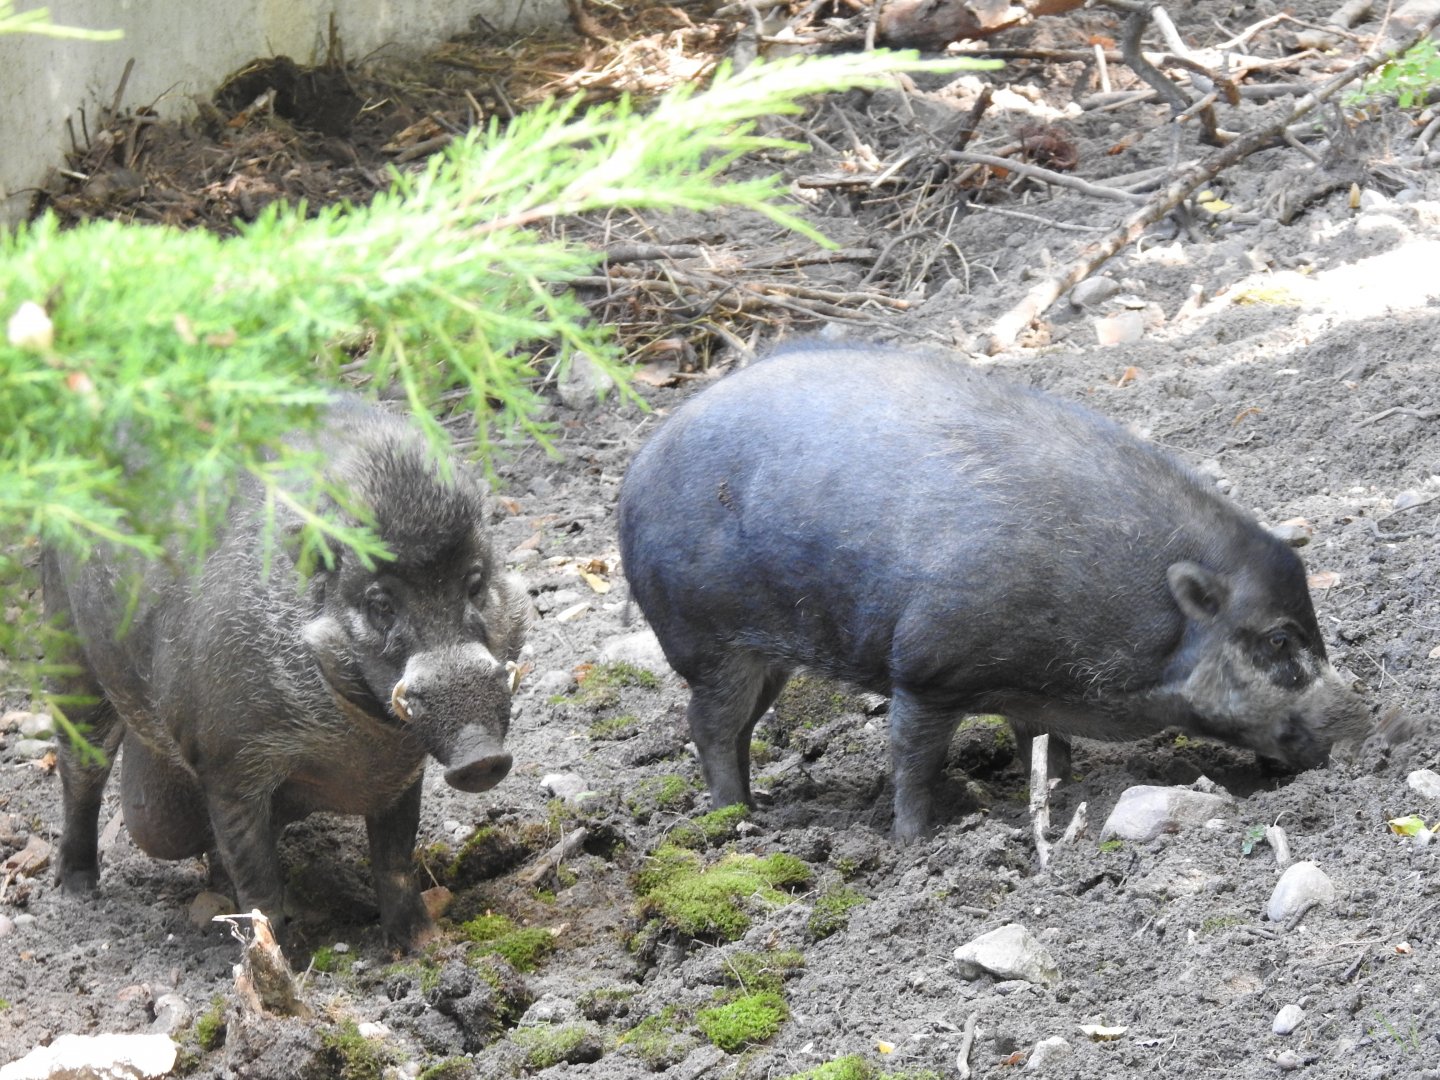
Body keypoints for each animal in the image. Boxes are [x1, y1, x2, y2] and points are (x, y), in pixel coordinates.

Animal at [44, 397, 529, 946]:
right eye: (380, 603)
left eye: (474, 583)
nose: (481, 757)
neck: (357, 742)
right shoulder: (227, 763)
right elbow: (258, 881)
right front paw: (280, 956)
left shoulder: (402, 773)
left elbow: (395, 862)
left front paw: (423, 946)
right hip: (67, 647)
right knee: (81, 771)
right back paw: (77, 891)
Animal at [617, 344, 1372, 840]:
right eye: (1280, 638)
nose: (1367, 726)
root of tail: (635, 472)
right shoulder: (926, 670)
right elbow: (912, 762)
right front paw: (918, 842)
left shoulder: (1029, 694)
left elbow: (1046, 749)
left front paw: (1060, 797)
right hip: (709, 643)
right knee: (710, 727)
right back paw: (738, 820)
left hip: (765, 656)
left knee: (739, 727)